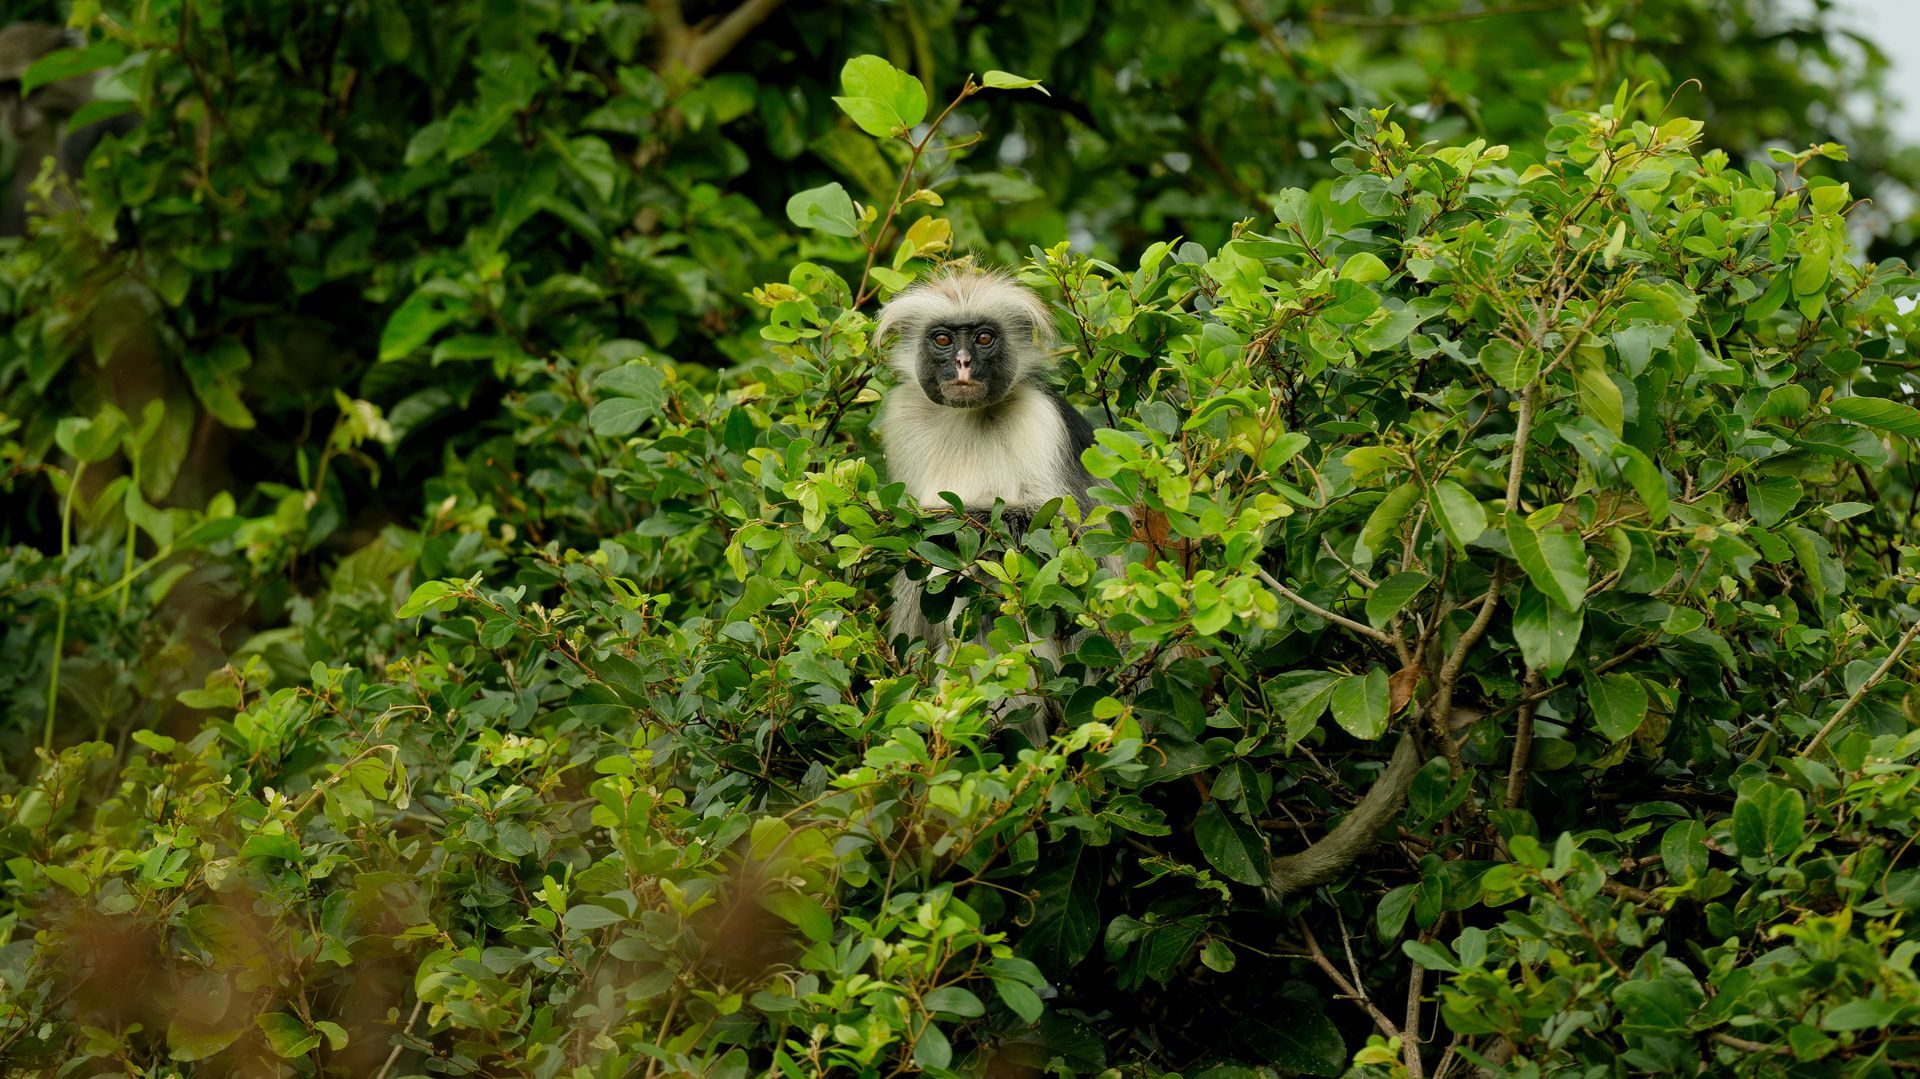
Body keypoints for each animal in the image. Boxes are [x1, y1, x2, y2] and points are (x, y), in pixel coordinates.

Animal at [874, 267, 1120, 739]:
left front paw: (948, 520)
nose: (963, 363)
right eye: (943, 339)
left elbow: (1071, 547)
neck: (966, 417)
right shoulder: (901, 421)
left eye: (984, 338)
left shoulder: (1041, 422)